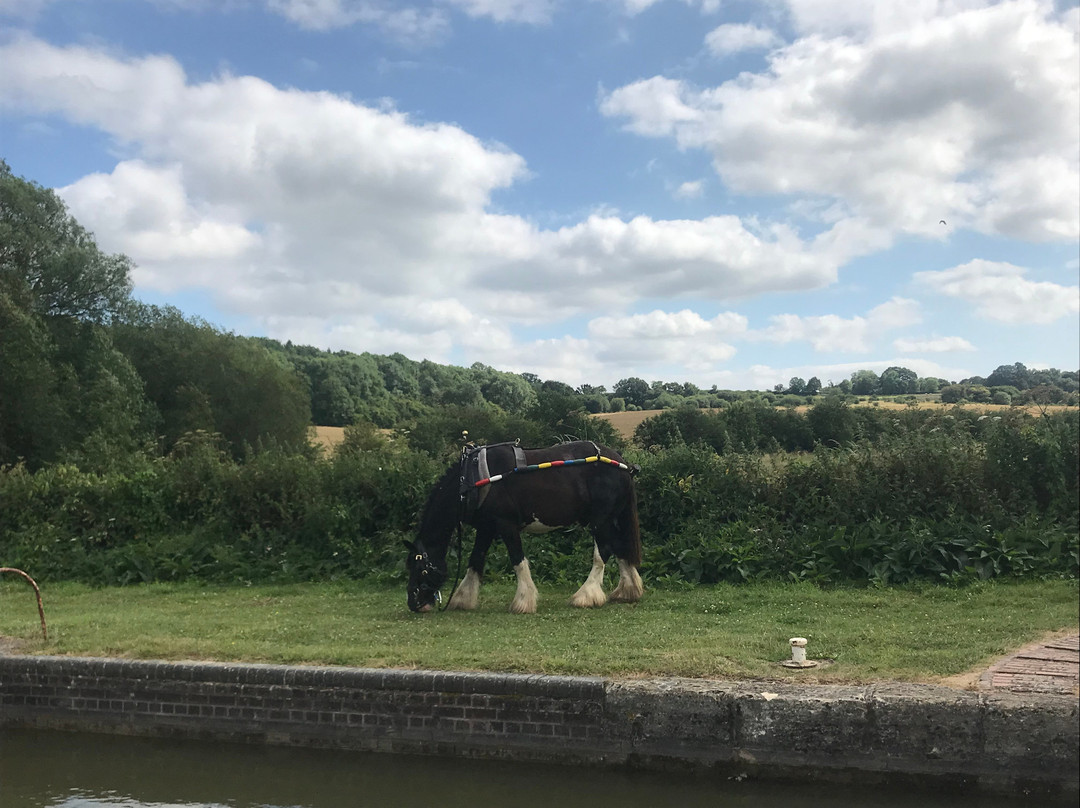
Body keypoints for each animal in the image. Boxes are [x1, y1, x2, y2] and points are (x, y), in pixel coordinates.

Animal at [406, 442, 639, 613]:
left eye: (420, 567)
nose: (414, 604)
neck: (472, 479)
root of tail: (622, 464)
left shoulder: (505, 524)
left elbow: (517, 560)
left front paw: (524, 601)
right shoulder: (486, 528)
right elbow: (475, 560)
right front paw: (463, 598)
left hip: (600, 519)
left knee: (604, 552)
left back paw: (586, 595)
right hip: (610, 518)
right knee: (620, 548)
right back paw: (628, 591)